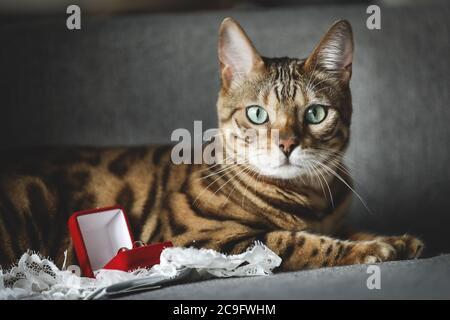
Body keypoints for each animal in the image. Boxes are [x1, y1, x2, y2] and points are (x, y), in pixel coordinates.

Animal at [0, 18, 422, 272]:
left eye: (316, 113)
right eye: (257, 114)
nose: (287, 143)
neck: (308, 199)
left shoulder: (336, 217)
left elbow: (353, 229)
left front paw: (395, 239)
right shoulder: (203, 239)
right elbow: (297, 242)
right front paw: (370, 250)